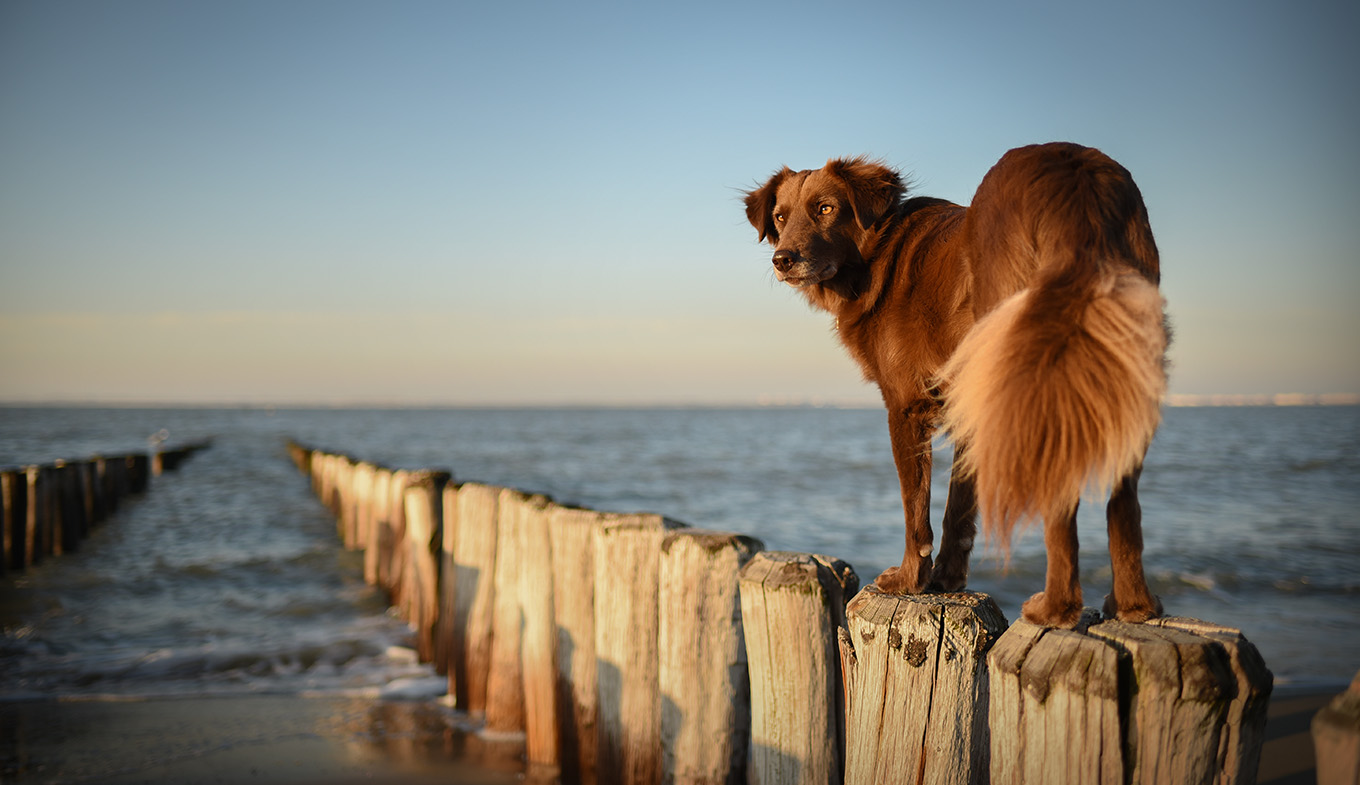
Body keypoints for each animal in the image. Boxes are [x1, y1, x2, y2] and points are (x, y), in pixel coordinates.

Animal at [745, 144, 1169, 628]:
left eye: (826, 208)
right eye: (780, 216)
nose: (782, 259)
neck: (878, 253)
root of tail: (1072, 172)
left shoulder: (905, 406)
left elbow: (916, 504)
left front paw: (909, 580)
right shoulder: (968, 403)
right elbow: (959, 505)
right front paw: (946, 579)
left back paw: (1056, 608)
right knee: (1125, 493)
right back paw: (1133, 605)